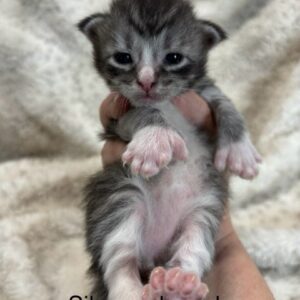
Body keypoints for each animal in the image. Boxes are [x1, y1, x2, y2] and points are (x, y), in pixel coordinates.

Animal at [78, 0, 262, 300]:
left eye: (174, 58)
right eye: (123, 57)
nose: (146, 81)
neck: (168, 102)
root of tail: (152, 257)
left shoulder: (203, 93)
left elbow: (226, 104)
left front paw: (239, 150)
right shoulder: (119, 115)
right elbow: (145, 110)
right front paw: (154, 141)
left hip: (203, 211)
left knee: (193, 248)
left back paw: (180, 284)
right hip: (120, 198)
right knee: (119, 258)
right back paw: (131, 290)